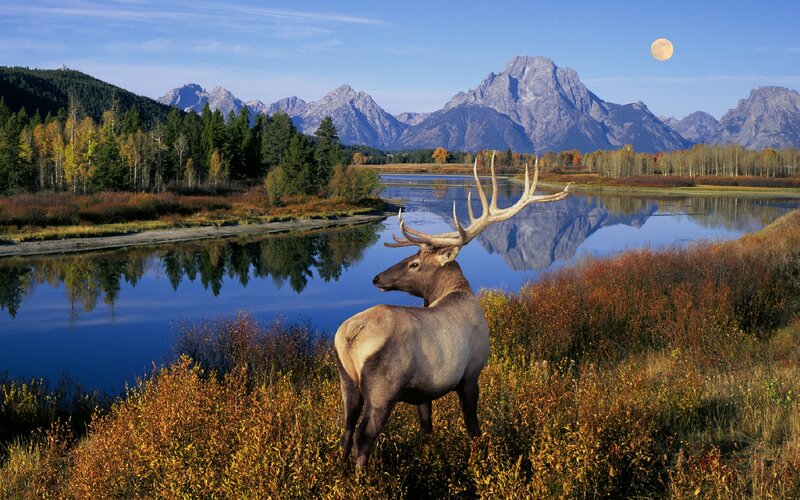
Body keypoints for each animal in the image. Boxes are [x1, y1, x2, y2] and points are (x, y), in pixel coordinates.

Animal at [334, 153, 571, 469]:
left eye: (414, 263)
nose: (377, 278)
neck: (457, 292)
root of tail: (349, 335)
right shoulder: (471, 374)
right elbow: (473, 428)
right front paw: (480, 458)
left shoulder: (423, 391)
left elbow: (427, 429)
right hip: (383, 390)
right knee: (364, 436)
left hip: (347, 381)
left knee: (346, 431)